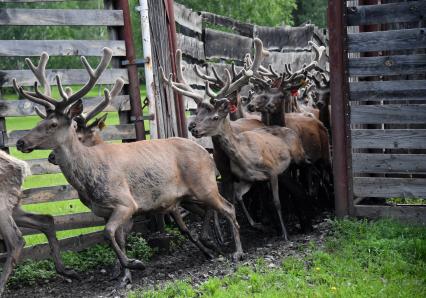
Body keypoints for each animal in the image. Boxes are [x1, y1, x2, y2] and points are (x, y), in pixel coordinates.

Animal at [13, 48, 245, 284]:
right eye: (38, 122)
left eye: (52, 124)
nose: (20, 142)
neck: (88, 178)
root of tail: (207, 154)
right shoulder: (105, 210)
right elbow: (118, 237)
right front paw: (124, 274)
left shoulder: (126, 203)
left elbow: (107, 233)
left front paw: (133, 264)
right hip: (188, 195)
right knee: (213, 208)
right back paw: (212, 246)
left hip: (204, 185)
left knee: (228, 207)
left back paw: (237, 251)